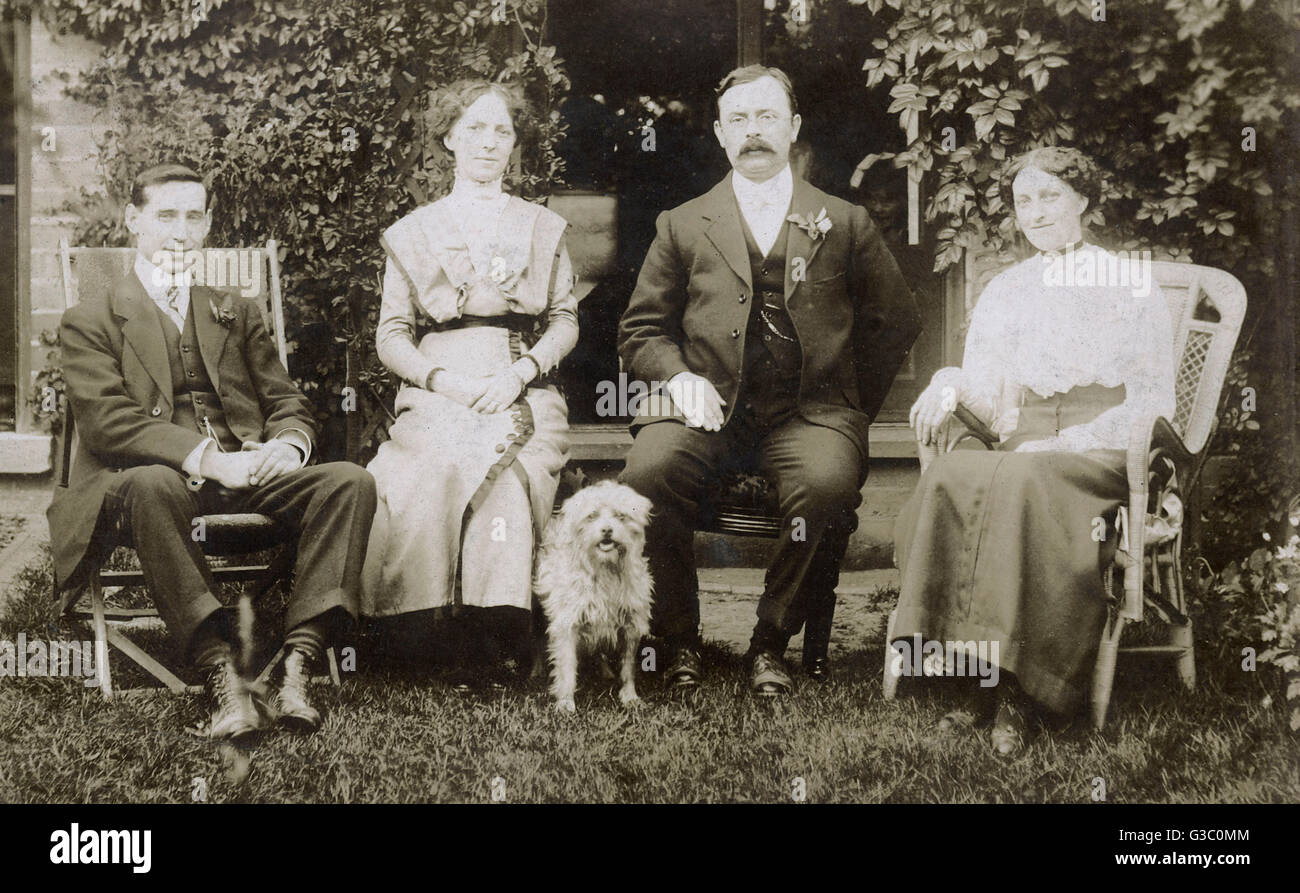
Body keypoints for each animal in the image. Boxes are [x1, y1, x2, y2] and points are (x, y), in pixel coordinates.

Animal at [535, 478, 655, 717]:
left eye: (620, 515)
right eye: (592, 516)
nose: (607, 530)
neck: (605, 567)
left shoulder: (631, 624)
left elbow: (628, 666)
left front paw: (630, 697)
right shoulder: (568, 624)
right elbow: (567, 666)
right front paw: (565, 702)